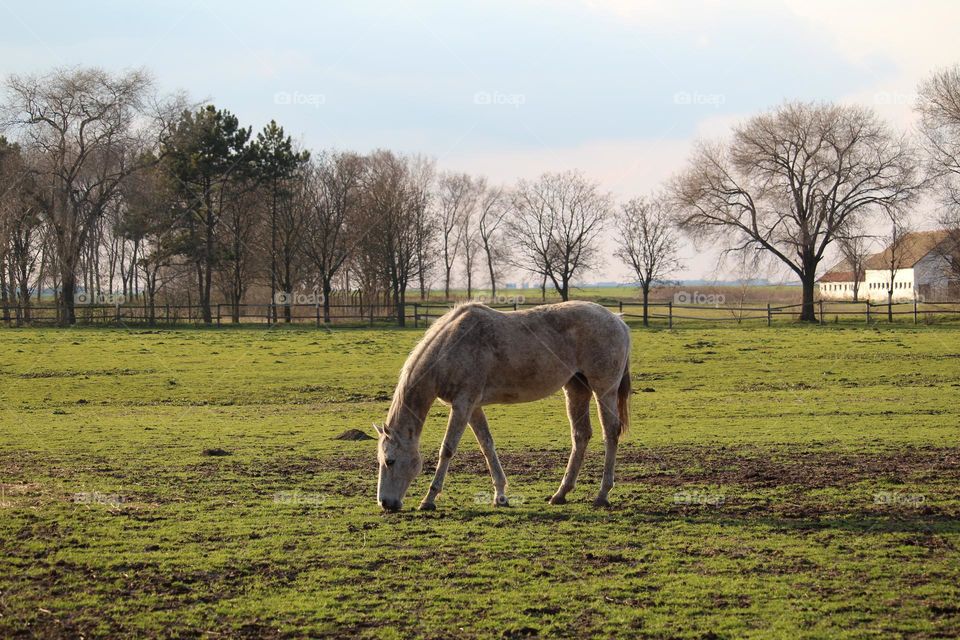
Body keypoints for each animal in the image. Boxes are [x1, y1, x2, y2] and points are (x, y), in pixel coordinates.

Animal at [374, 298, 632, 510]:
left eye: (390, 460)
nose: (385, 503)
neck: (449, 346)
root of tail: (618, 321)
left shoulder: (462, 404)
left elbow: (447, 449)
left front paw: (428, 499)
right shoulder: (473, 407)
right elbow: (487, 445)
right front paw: (500, 495)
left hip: (604, 391)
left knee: (610, 433)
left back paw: (602, 495)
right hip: (576, 389)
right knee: (580, 435)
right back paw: (560, 494)